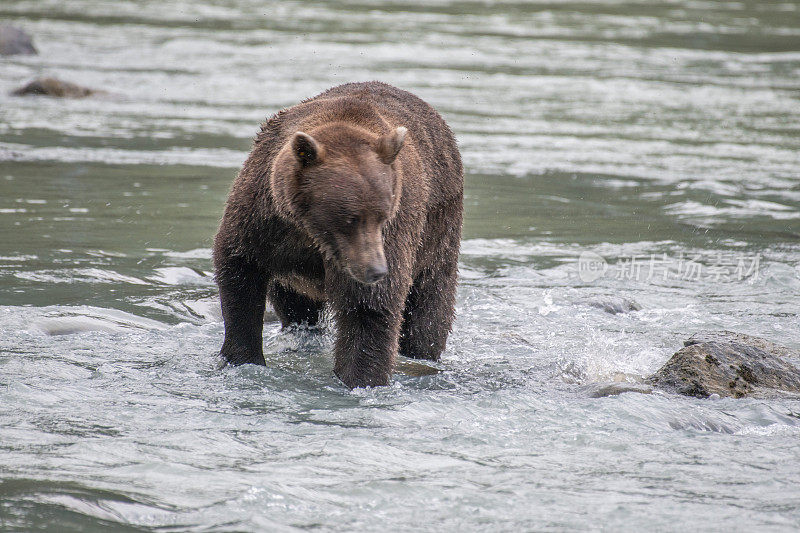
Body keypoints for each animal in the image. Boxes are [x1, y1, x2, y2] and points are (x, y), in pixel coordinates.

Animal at [212, 81, 462, 386]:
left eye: (383, 216)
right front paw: (243, 358)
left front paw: (359, 379)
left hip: (438, 234)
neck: (310, 232)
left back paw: (421, 352)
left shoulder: (395, 229)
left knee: (429, 308)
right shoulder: (263, 218)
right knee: (295, 305)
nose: (377, 270)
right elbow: (240, 272)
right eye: (350, 218)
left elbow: (369, 308)